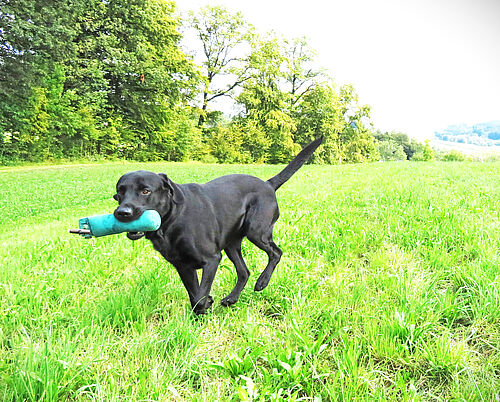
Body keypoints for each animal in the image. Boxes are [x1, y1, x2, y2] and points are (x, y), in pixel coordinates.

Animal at [113, 137, 322, 314]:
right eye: (119, 192)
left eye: (145, 191)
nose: (122, 212)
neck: (172, 220)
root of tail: (268, 184)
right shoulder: (183, 266)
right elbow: (194, 295)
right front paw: (200, 314)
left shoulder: (212, 259)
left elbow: (199, 296)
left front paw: (205, 303)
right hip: (231, 244)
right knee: (244, 271)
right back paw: (231, 298)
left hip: (256, 231)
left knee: (276, 253)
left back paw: (262, 282)